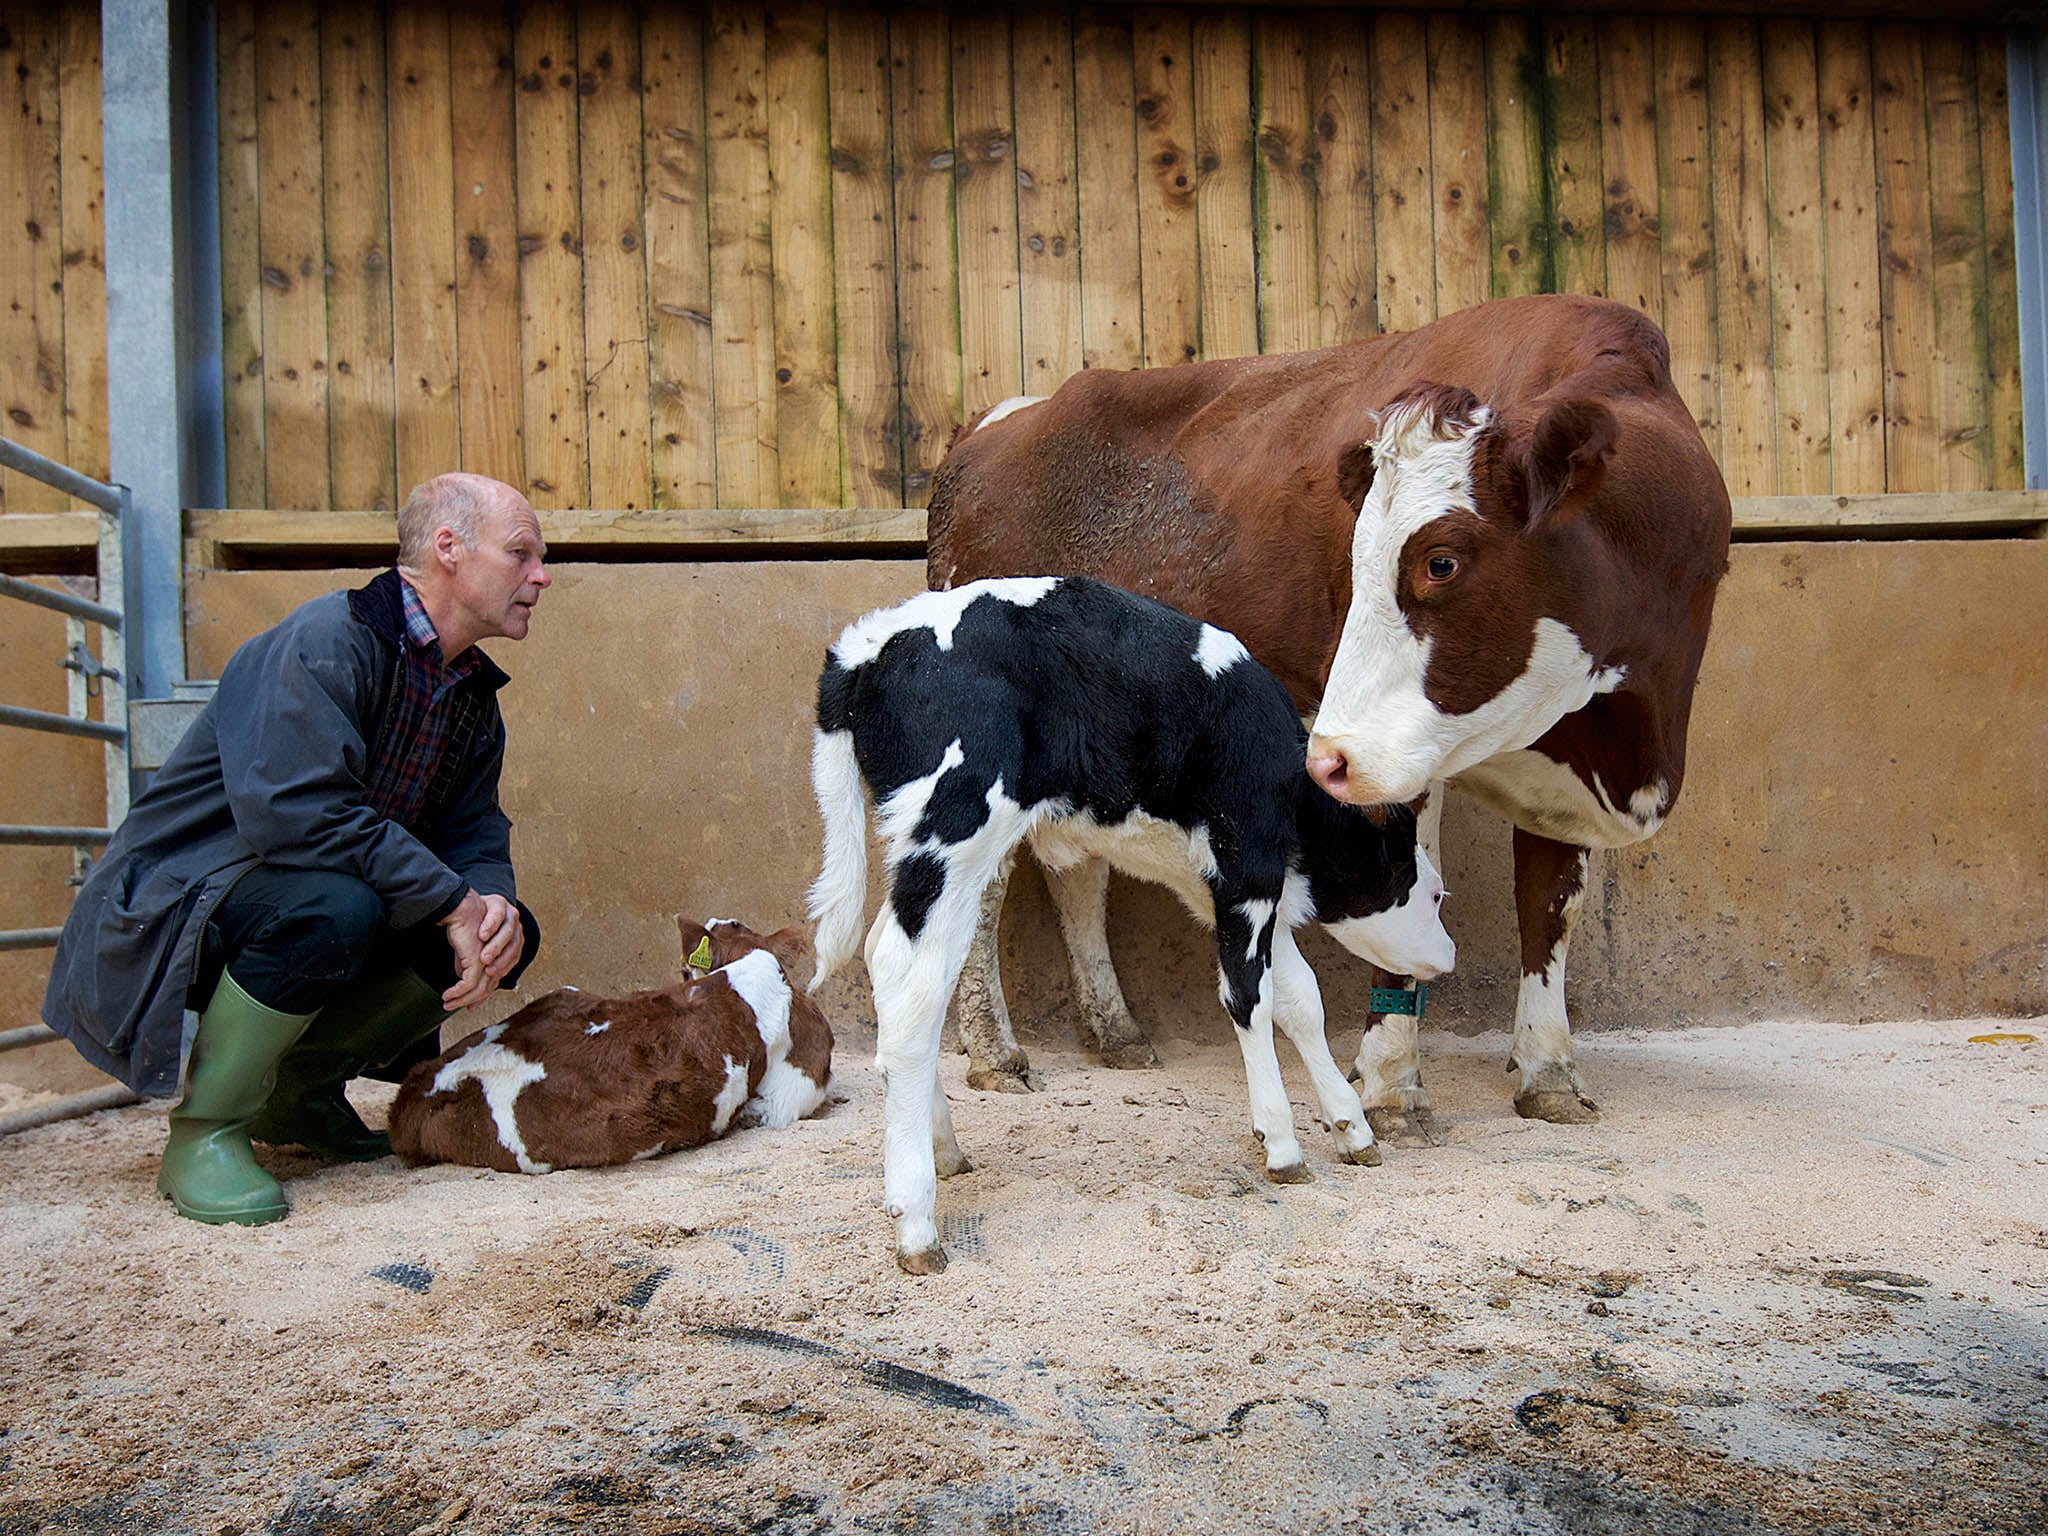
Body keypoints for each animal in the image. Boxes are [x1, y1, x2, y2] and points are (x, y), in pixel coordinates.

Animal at [802, 577, 1458, 1277]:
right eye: (1434, 893)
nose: (1449, 954)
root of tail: (867, 644)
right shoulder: (1248, 861)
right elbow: (1246, 996)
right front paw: (1282, 1142)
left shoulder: (1222, 884)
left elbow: (1298, 997)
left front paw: (1349, 1126)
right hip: (954, 827)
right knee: (911, 981)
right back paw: (917, 1221)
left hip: (929, 853)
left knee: (892, 960)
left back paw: (944, 1148)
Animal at [929, 290, 1728, 1130]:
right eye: (1355, 559)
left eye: (1441, 561)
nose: (1319, 759)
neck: (1625, 740)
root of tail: (1000, 419)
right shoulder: (1392, 755)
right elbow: (1409, 888)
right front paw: (1389, 1085)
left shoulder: (1561, 762)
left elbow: (1549, 910)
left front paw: (1548, 1071)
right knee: (983, 886)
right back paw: (995, 1052)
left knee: (1078, 871)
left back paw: (1115, 1031)